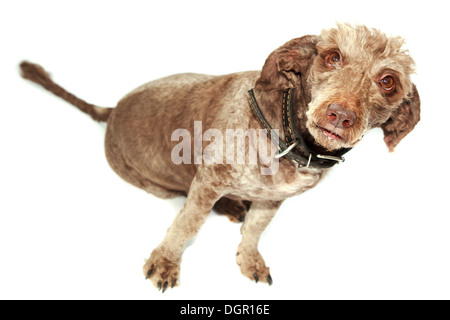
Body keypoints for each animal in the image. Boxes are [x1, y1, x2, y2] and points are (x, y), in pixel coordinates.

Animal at [19, 23, 420, 292]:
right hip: (158, 183)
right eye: (332, 56)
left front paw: (249, 258)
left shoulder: (273, 200)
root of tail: (111, 110)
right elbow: (186, 225)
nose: (340, 114)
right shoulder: (208, 182)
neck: (286, 138)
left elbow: (255, 230)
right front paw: (166, 261)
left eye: (388, 82)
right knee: (183, 193)